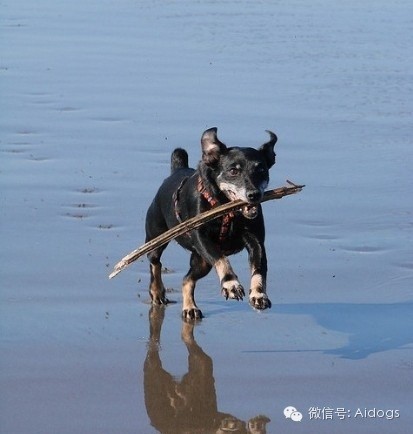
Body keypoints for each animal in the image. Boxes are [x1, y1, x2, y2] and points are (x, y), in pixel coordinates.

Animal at [145, 125, 276, 318]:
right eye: (233, 171)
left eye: (261, 170)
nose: (254, 194)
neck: (228, 212)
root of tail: (176, 171)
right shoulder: (201, 238)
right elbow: (221, 258)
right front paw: (231, 284)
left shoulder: (256, 240)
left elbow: (259, 267)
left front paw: (259, 294)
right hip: (156, 238)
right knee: (155, 262)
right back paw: (157, 292)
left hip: (202, 262)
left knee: (187, 279)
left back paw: (190, 307)